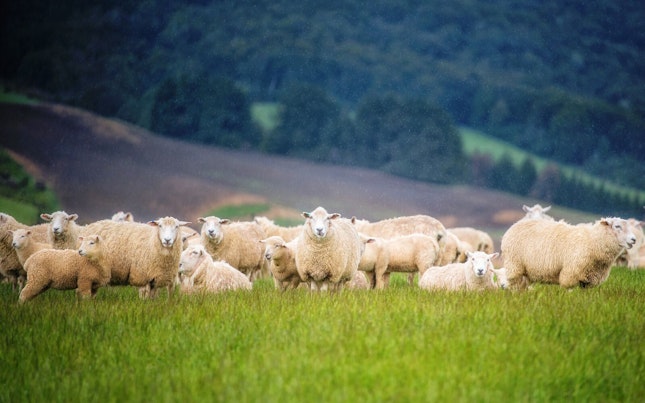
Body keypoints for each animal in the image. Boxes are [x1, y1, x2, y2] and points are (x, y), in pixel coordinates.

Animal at [501, 217, 637, 290]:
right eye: (617, 226)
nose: (634, 239)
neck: (592, 241)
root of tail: (514, 225)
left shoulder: (589, 281)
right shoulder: (571, 274)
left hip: (525, 272)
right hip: (514, 265)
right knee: (513, 284)